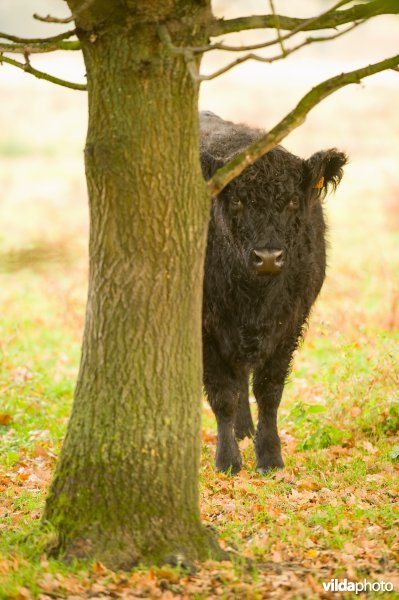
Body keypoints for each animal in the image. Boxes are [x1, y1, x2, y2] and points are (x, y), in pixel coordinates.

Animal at [200, 113, 346, 474]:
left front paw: (269, 457)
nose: (267, 257)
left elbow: (269, 390)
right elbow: (222, 394)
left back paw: (244, 430)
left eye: (292, 200)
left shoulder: (290, 322)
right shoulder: (206, 327)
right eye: (236, 200)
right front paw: (227, 461)